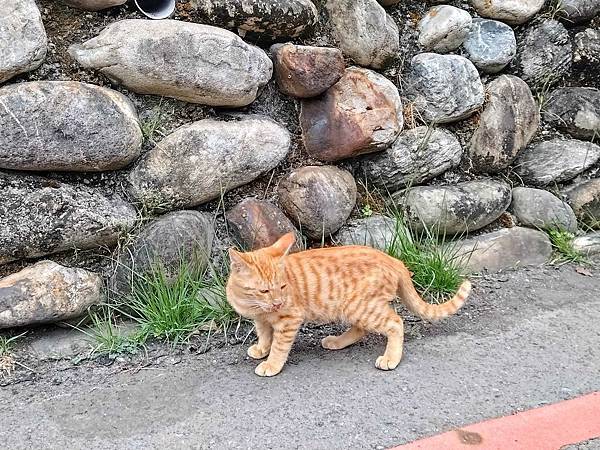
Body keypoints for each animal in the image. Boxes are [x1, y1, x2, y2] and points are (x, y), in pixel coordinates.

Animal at [227, 232, 472, 376]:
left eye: (283, 286)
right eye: (264, 291)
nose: (278, 303)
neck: (255, 306)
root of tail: (394, 260)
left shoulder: (289, 320)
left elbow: (279, 346)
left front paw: (272, 364)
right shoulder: (261, 320)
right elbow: (265, 335)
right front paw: (262, 349)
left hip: (360, 307)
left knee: (395, 322)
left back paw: (391, 358)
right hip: (355, 308)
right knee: (361, 329)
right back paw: (336, 341)